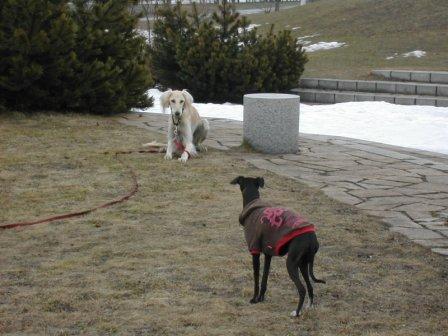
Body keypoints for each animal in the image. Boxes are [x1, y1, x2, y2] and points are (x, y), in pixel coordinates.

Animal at [231, 177, 326, 316]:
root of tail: (311, 238)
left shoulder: (255, 251)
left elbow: (256, 278)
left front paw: (254, 299)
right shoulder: (268, 254)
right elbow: (264, 279)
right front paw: (261, 299)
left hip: (291, 263)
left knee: (302, 289)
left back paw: (296, 313)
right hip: (303, 264)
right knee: (310, 286)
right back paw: (309, 306)